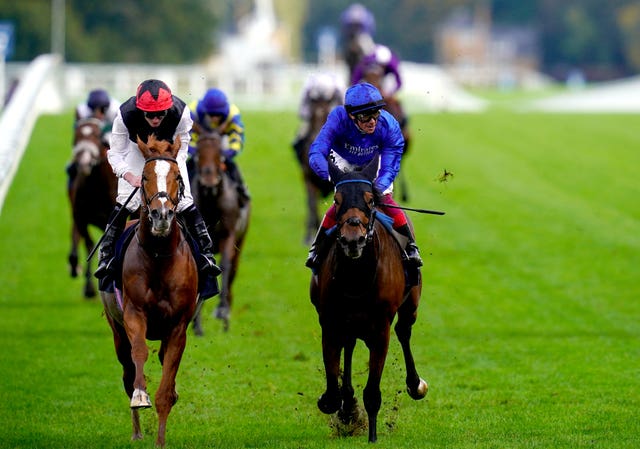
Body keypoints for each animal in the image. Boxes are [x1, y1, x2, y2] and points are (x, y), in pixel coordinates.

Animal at [67, 117, 117, 298]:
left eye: (96, 135)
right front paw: (89, 288)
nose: (84, 162)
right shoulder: (80, 216)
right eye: (76, 136)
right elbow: (89, 244)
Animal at [99, 133, 199, 444]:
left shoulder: (178, 325)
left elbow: (166, 388)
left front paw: (161, 441)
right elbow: (139, 354)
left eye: (178, 176)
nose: (161, 215)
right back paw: (136, 432)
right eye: (143, 177)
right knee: (127, 370)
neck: (158, 258)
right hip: (116, 329)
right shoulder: (134, 314)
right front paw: (141, 396)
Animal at [190, 130, 250, 332]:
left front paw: (223, 313)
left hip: (241, 240)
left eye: (219, 153)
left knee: (232, 269)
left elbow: (225, 265)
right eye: (199, 152)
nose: (209, 179)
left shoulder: (228, 234)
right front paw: (197, 325)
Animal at [308, 157, 424, 440]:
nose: (353, 239)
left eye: (370, 200)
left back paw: (416, 384)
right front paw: (343, 407)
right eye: (336, 199)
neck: (357, 276)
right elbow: (332, 385)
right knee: (349, 345)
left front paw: (371, 436)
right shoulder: (331, 321)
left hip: (410, 305)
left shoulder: (380, 329)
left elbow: (372, 392)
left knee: (404, 332)